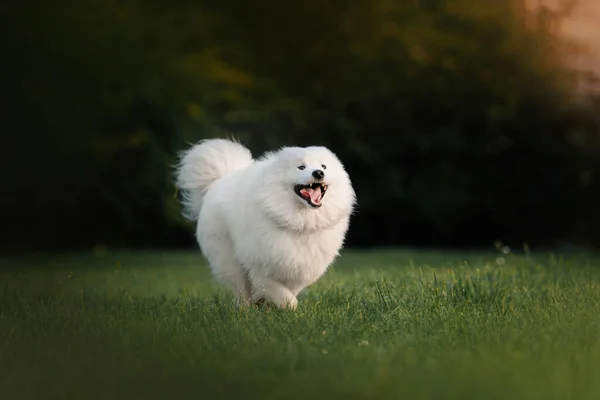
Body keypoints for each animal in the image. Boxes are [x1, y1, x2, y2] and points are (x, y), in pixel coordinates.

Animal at [176, 138, 358, 310]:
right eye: (301, 167)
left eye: (324, 166)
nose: (318, 173)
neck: (301, 222)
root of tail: (219, 180)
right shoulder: (260, 267)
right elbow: (282, 294)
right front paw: (286, 306)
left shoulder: (299, 269)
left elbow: (289, 290)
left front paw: (269, 304)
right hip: (230, 260)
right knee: (241, 290)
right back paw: (245, 310)